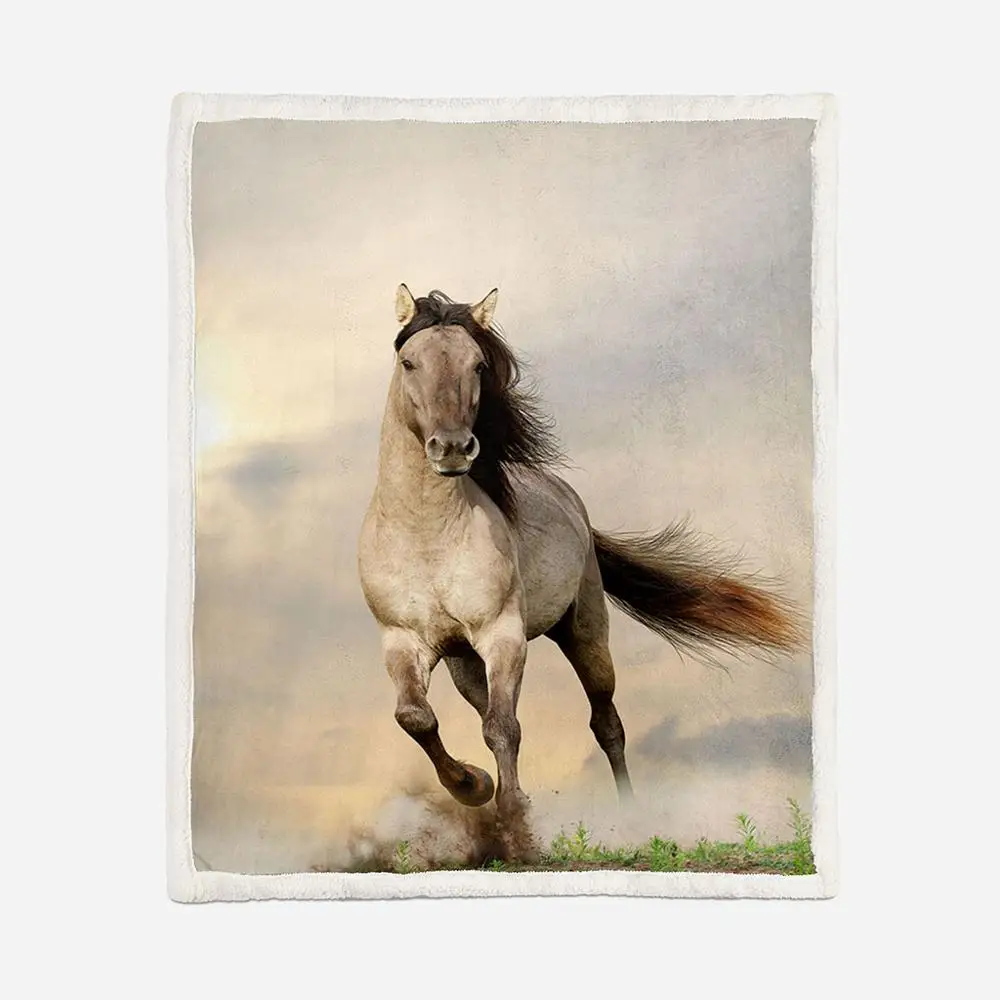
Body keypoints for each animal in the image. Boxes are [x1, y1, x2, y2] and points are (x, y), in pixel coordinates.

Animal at [357, 285, 804, 832]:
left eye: (478, 364)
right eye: (409, 362)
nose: (454, 449)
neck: (426, 535)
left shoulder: (503, 634)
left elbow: (503, 727)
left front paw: (514, 817)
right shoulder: (403, 640)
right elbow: (417, 718)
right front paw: (473, 785)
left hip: (585, 632)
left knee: (605, 723)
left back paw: (631, 816)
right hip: (465, 661)